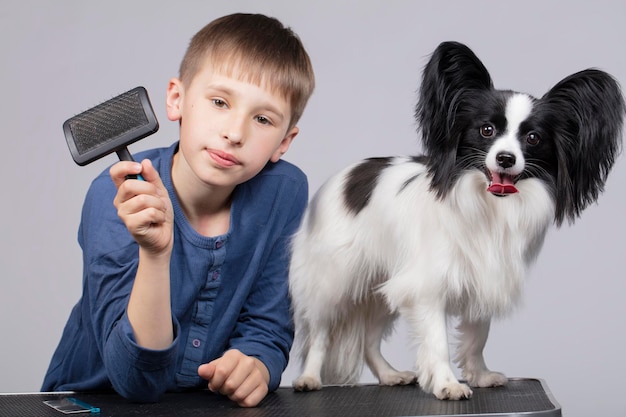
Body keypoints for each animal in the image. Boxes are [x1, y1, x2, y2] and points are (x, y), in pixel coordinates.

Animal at [290, 41, 620, 400]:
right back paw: (309, 378)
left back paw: (389, 375)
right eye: (487, 130)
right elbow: (437, 342)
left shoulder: (484, 279)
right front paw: (447, 384)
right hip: (334, 282)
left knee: (369, 339)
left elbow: (477, 337)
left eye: (532, 138)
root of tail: (344, 176)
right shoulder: (426, 288)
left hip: (382, 288)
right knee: (320, 333)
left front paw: (480, 375)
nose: (506, 158)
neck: (490, 207)